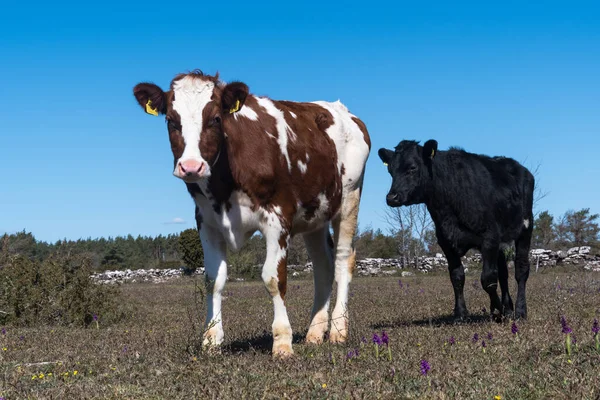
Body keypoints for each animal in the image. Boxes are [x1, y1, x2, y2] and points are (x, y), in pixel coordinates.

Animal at [132, 69, 370, 356]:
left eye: (215, 118)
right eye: (170, 120)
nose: (191, 167)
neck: (225, 186)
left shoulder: (278, 218)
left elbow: (273, 278)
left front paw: (282, 341)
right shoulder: (207, 222)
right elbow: (213, 279)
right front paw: (211, 339)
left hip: (349, 198)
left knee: (343, 259)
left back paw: (338, 331)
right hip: (315, 213)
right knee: (322, 265)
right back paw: (315, 332)